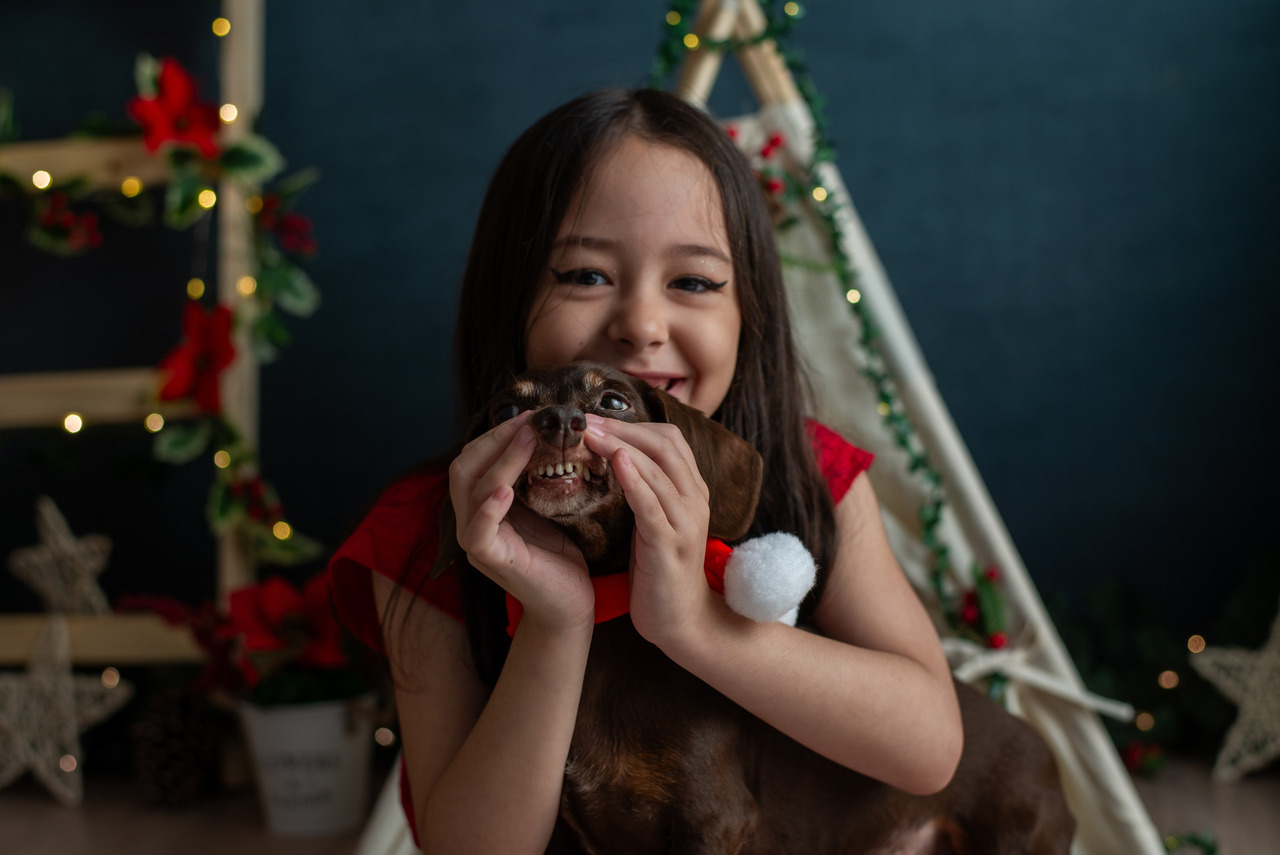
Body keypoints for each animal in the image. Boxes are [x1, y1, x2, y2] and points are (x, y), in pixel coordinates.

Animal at [455, 363, 1075, 855]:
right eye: (508, 408)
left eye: (612, 401)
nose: (558, 422)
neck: (609, 629)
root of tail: (1049, 759)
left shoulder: (713, 820)